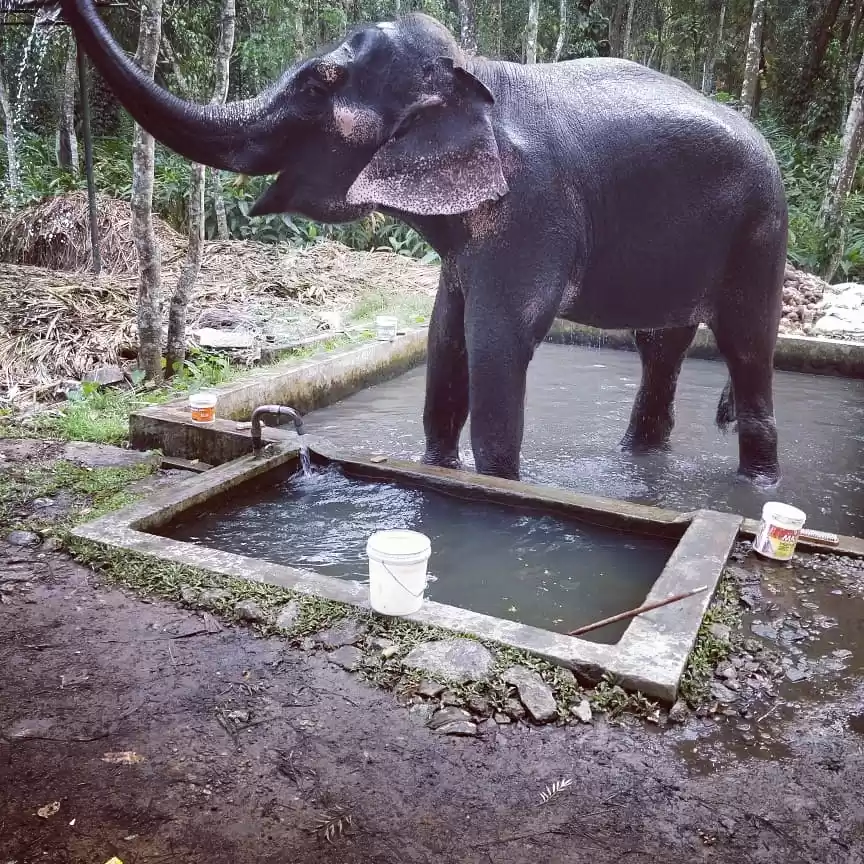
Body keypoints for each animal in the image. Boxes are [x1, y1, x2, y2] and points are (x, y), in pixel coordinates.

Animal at [61, 0, 788, 485]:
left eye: (321, 82)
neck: (475, 72)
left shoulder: (529, 211)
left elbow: (496, 346)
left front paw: (496, 489)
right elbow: (444, 341)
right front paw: (436, 470)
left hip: (760, 231)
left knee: (747, 350)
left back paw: (757, 484)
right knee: (660, 349)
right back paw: (639, 462)